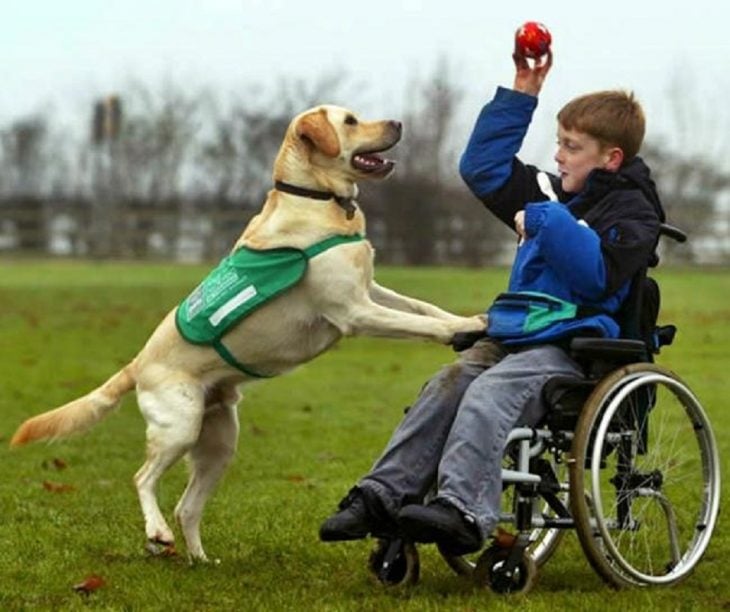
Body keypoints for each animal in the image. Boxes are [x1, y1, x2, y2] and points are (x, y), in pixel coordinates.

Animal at [9, 105, 484, 564]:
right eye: (350, 121)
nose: (398, 123)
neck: (318, 199)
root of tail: (137, 364)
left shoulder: (370, 290)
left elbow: (422, 308)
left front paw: (468, 319)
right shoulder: (354, 311)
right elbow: (422, 324)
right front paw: (466, 327)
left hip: (219, 444)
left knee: (187, 507)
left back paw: (200, 560)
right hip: (179, 426)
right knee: (143, 478)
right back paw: (157, 533)